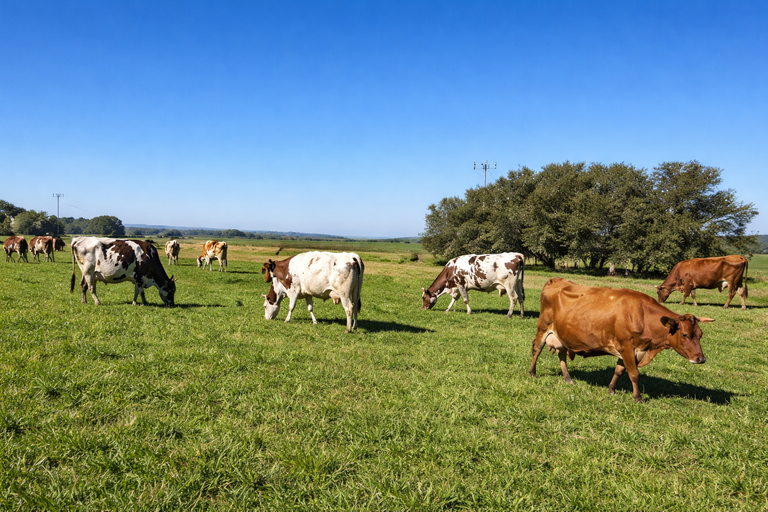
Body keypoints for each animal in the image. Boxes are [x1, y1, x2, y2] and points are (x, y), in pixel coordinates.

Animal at [529, 278, 713, 403]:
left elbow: (619, 370)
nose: (701, 359)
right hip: (543, 327)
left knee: (562, 354)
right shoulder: (627, 346)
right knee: (537, 349)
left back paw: (568, 378)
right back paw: (532, 372)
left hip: (561, 335)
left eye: (700, 334)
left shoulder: (631, 349)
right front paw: (638, 397)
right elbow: (634, 374)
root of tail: (556, 280)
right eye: (685, 335)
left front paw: (611, 389)